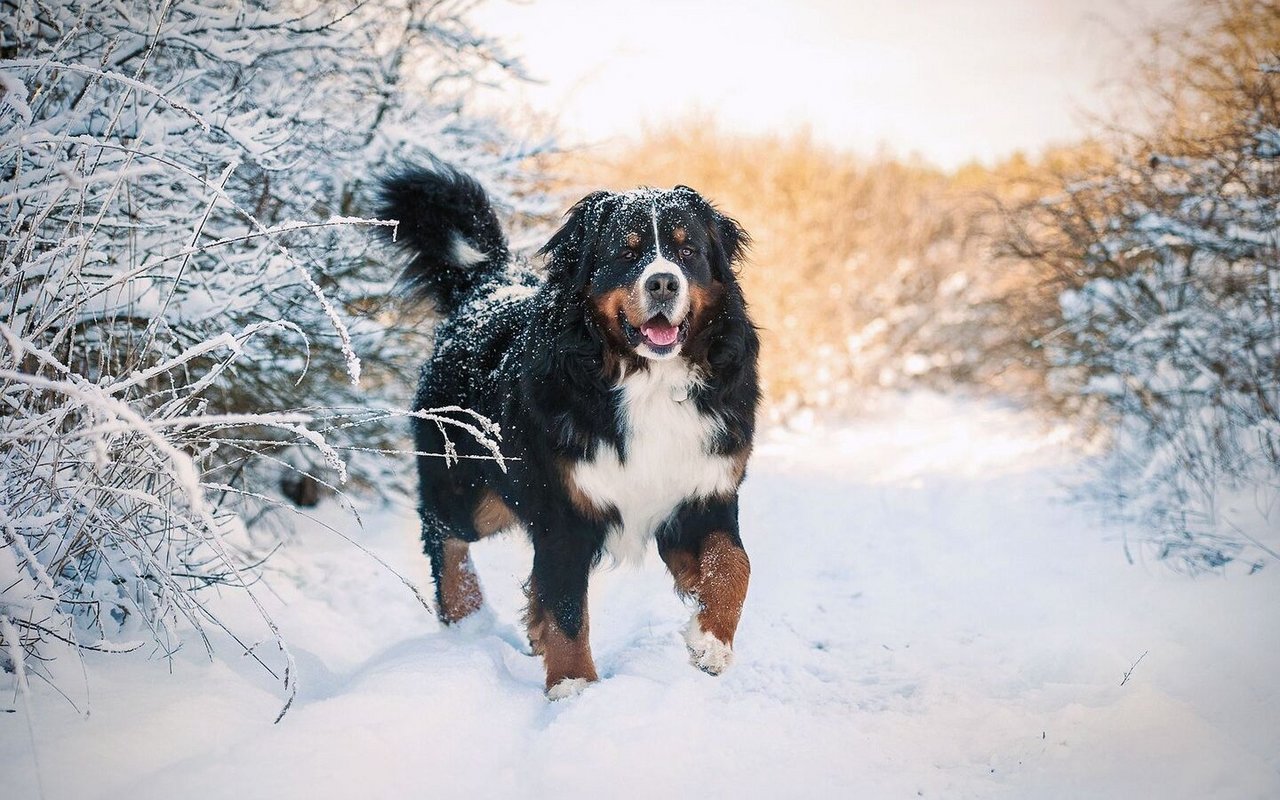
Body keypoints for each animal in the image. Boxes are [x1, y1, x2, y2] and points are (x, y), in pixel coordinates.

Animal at [378, 163, 757, 696]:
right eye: (626, 252)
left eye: (688, 251)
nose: (663, 283)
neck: (647, 380)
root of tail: (488, 285)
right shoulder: (563, 509)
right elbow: (567, 609)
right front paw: (573, 686)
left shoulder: (705, 490)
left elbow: (733, 566)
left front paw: (710, 643)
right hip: (474, 493)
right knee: (443, 533)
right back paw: (467, 617)